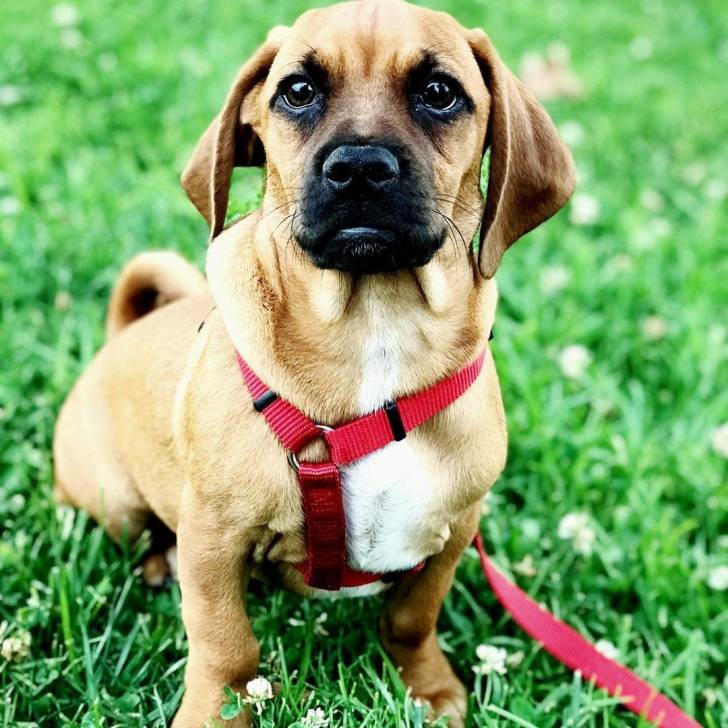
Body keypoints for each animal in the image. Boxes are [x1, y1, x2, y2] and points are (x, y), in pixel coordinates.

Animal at [52, 2, 576, 724]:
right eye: (297, 91)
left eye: (439, 92)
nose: (358, 168)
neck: (374, 323)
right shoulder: (213, 539)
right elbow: (226, 645)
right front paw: (214, 712)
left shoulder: (453, 530)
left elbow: (412, 620)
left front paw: (428, 688)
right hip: (114, 499)